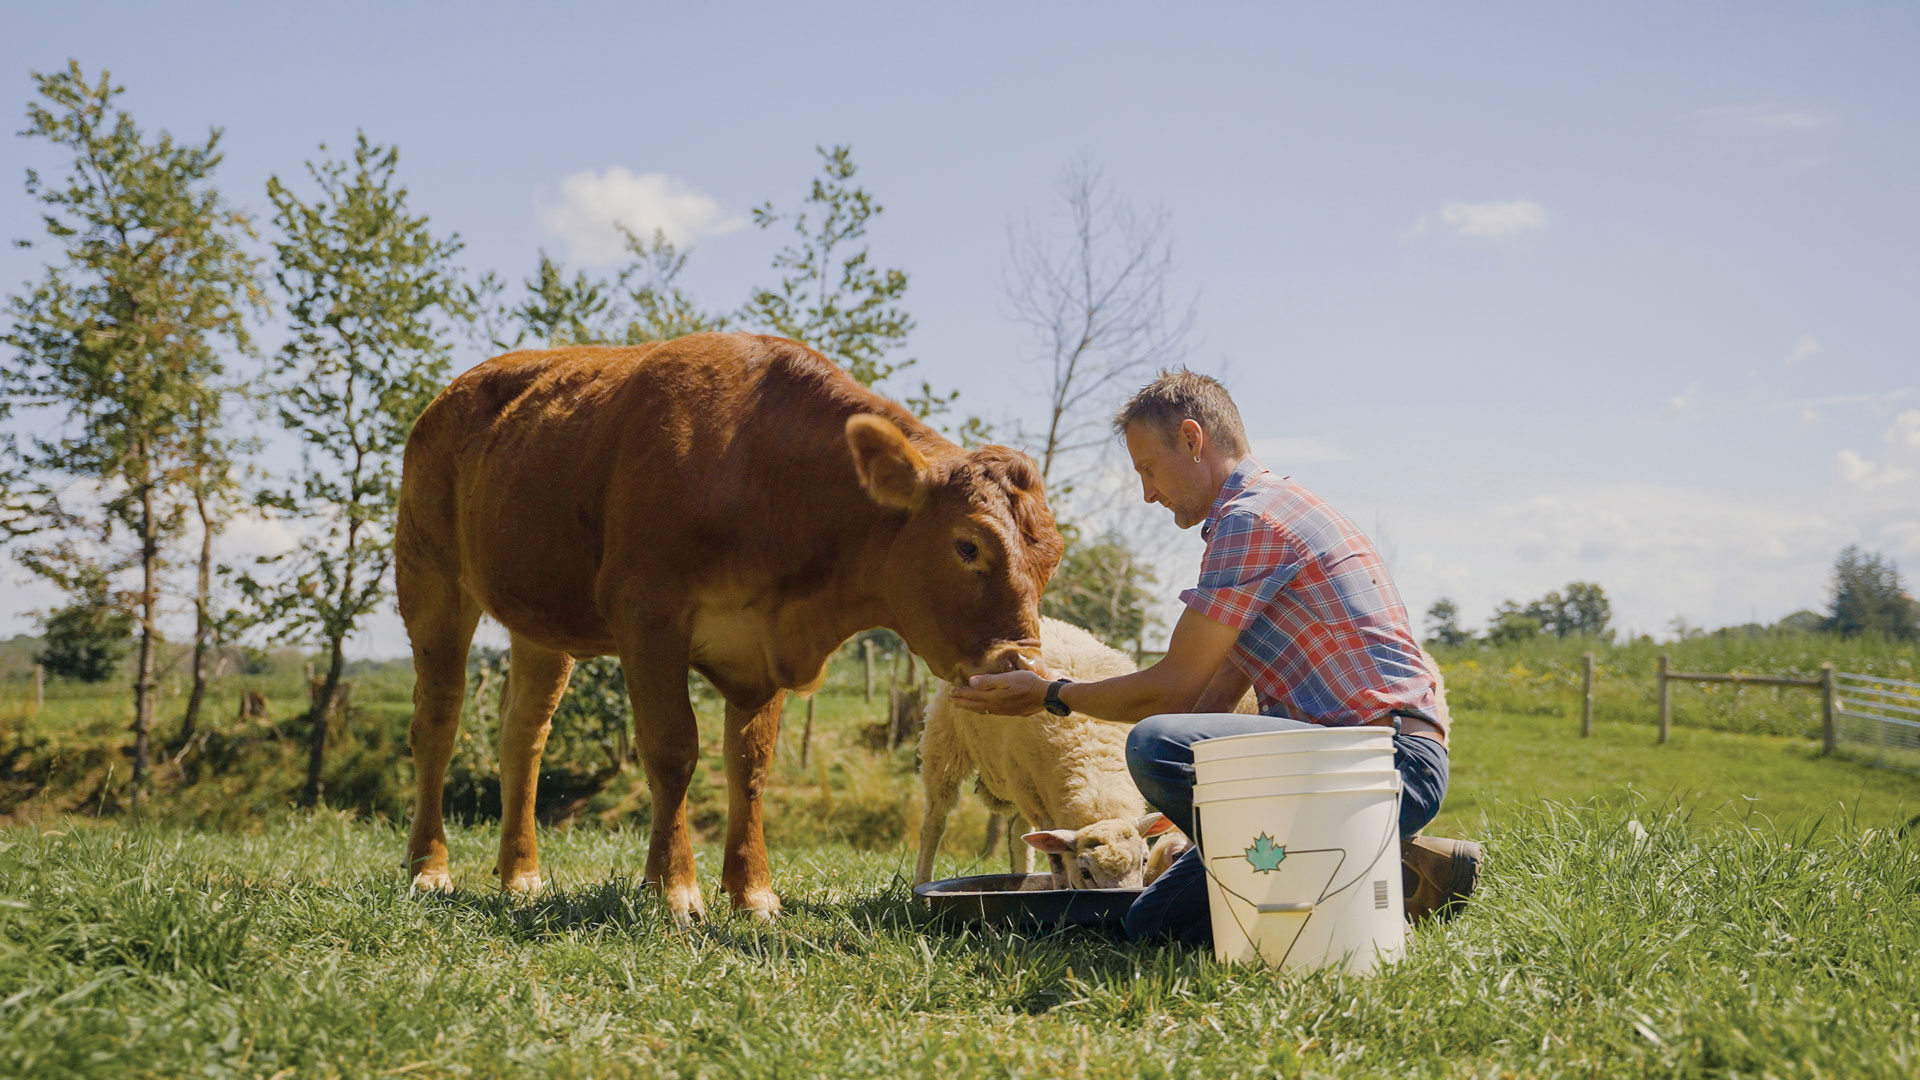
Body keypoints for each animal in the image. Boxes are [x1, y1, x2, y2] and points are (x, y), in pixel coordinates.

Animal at [394, 332, 1062, 921]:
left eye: (1051, 559)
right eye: (968, 546)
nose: (1025, 666)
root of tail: (454, 391)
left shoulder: (760, 647)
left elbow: (750, 765)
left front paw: (753, 893)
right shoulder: (646, 612)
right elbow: (671, 751)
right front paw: (673, 889)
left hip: (541, 623)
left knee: (523, 735)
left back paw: (520, 875)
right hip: (430, 581)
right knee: (437, 724)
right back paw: (429, 870)